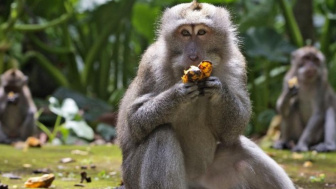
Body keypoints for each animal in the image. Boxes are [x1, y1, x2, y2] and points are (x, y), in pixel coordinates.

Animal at [117, 0, 296, 188]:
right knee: (161, 134)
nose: (193, 55)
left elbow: (232, 130)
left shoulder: (237, 64)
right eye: (185, 33)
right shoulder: (151, 63)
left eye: (201, 32)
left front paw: (219, 90)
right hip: (133, 176)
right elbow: (135, 121)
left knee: (241, 149)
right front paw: (177, 95)